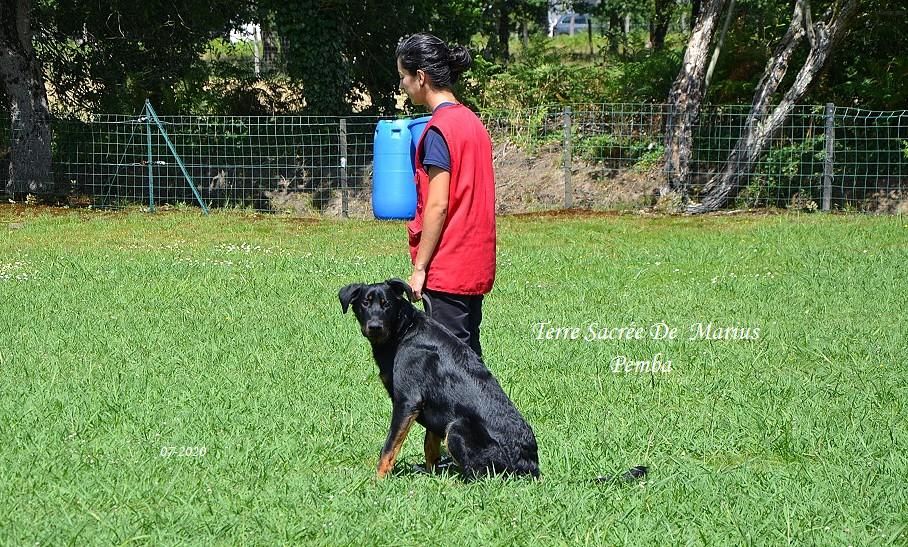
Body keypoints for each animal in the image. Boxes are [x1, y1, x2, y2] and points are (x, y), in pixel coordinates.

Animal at [340, 278, 540, 480]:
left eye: (386, 304)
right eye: (365, 303)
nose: (375, 327)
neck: (404, 331)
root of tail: (530, 467)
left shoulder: (407, 401)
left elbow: (389, 447)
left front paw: (378, 479)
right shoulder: (434, 406)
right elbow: (430, 445)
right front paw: (433, 475)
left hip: (457, 428)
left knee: (480, 476)